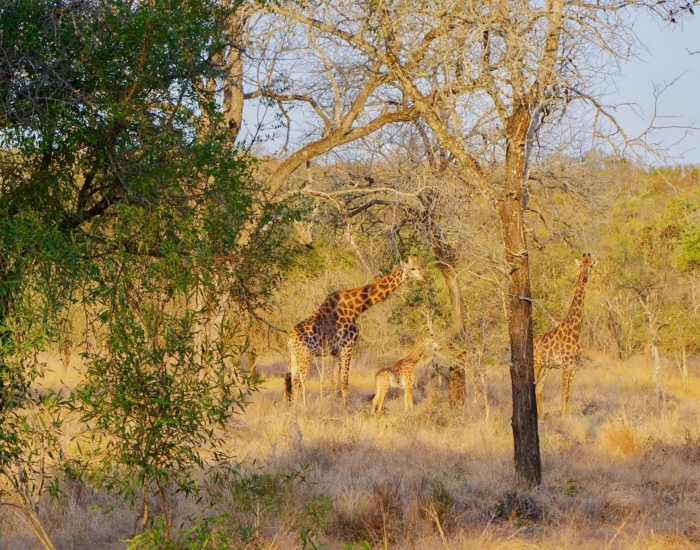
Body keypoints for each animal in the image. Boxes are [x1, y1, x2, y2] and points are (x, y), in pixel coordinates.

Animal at [284, 256, 426, 408]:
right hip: (304, 357)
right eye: (412, 268)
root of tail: (290, 339)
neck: (356, 308)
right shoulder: (348, 346)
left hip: (294, 357)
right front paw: (346, 408)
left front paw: (334, 405)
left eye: (420, 266)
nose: (425, 278)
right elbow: (345, 382)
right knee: (298, 382)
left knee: (290, 379)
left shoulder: (336, 352)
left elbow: (334, 381)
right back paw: (299, 408)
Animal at [532, 254, 600, 418]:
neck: (575, 330)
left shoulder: (574, 366)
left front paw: (567, 418)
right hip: (536, 363)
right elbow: (563, 393)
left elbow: (569, 394)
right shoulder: (565, 365)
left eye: (591, 266)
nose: (585, 277)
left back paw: (541, 417)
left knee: (539, 389)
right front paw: (562, 419)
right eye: (581, 266)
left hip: (546, 367)